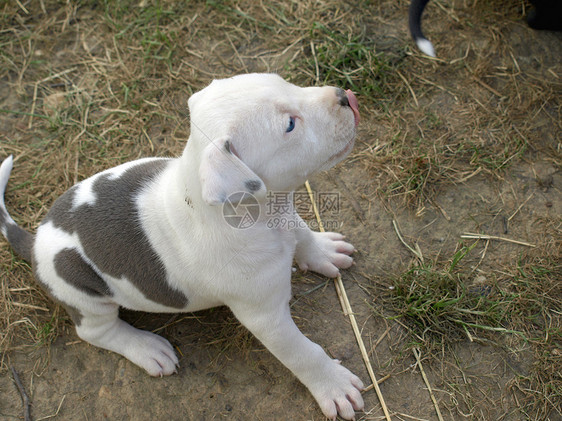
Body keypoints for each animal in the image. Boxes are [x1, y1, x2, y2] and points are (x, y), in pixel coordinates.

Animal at [1, 74, 364, 418]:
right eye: (290, 124)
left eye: (287, 83)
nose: (345, 96)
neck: (261, 217)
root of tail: (36, 240)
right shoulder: (265, 316)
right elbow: (303, 353)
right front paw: (334, 386)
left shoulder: (286, 215)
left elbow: (302, 234)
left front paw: (324, 251)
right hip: (83, 293)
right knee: (96, 332)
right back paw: (148, 348)